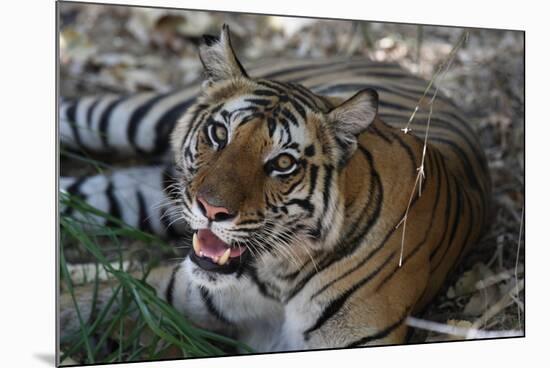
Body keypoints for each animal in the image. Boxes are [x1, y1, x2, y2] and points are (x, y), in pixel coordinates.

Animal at [59, 24, 492, 352]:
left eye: (283, 163)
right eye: (219, 134)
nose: (210, 209)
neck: (277, 278)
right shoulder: (156, 291)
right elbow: (79, 307)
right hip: (140, 117)